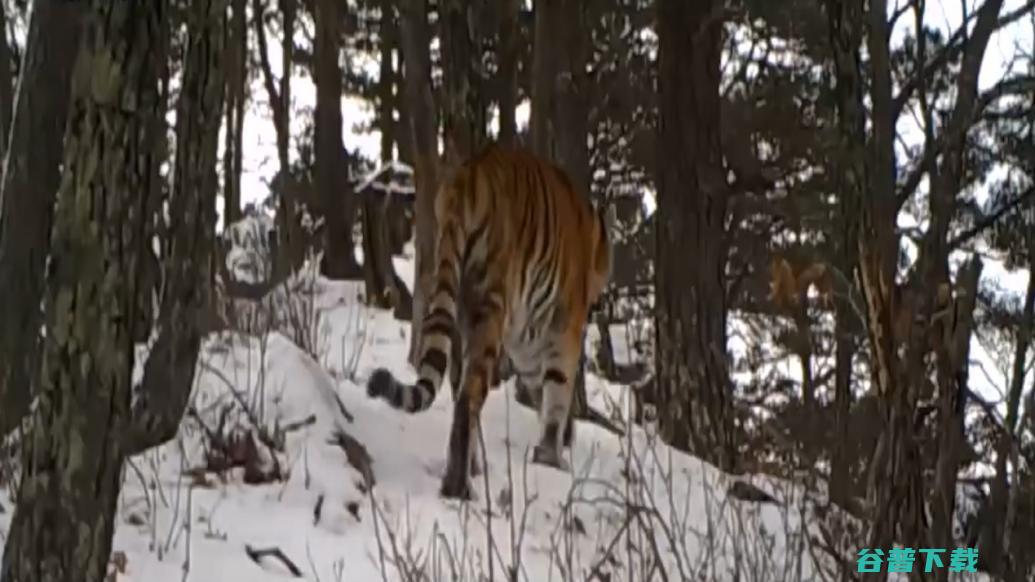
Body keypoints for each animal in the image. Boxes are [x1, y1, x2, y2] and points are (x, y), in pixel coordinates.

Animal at [368, 142, 608, 497]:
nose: (600, 298)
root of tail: (467, 178)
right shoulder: (562, 328)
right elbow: (557, 393)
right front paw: (552, 457)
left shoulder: (528, 341)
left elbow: (543, 391)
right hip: (490, 305)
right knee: (468, 397)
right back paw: (459, 485)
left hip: (455, 300)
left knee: (459, 387)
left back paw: (472, 467)